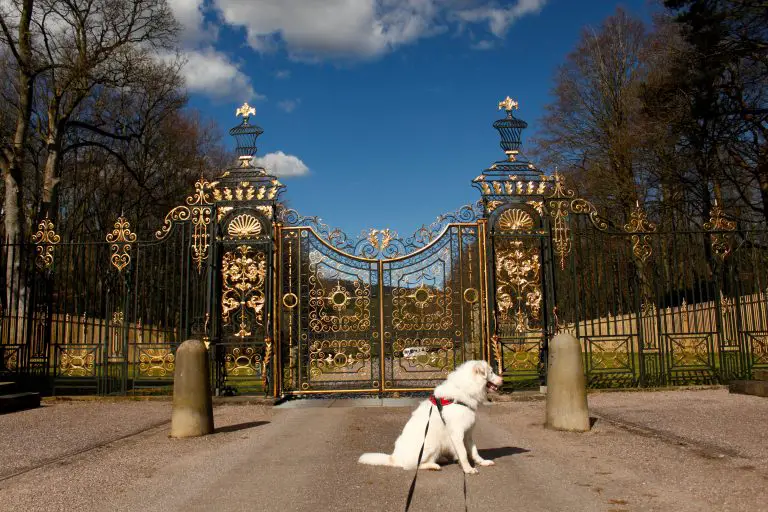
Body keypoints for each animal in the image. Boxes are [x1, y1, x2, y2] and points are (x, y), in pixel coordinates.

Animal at [356, 360, 500, 476]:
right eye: (491, 372)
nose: (502, 379)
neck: (464, 390)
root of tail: (394, 458)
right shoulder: (457, 434)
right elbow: (464, 453)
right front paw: (468, 469)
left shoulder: (468, 433)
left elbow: (474, 451)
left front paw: (483, 462)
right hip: (432, 444)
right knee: (413, 466)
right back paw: (433, 465)